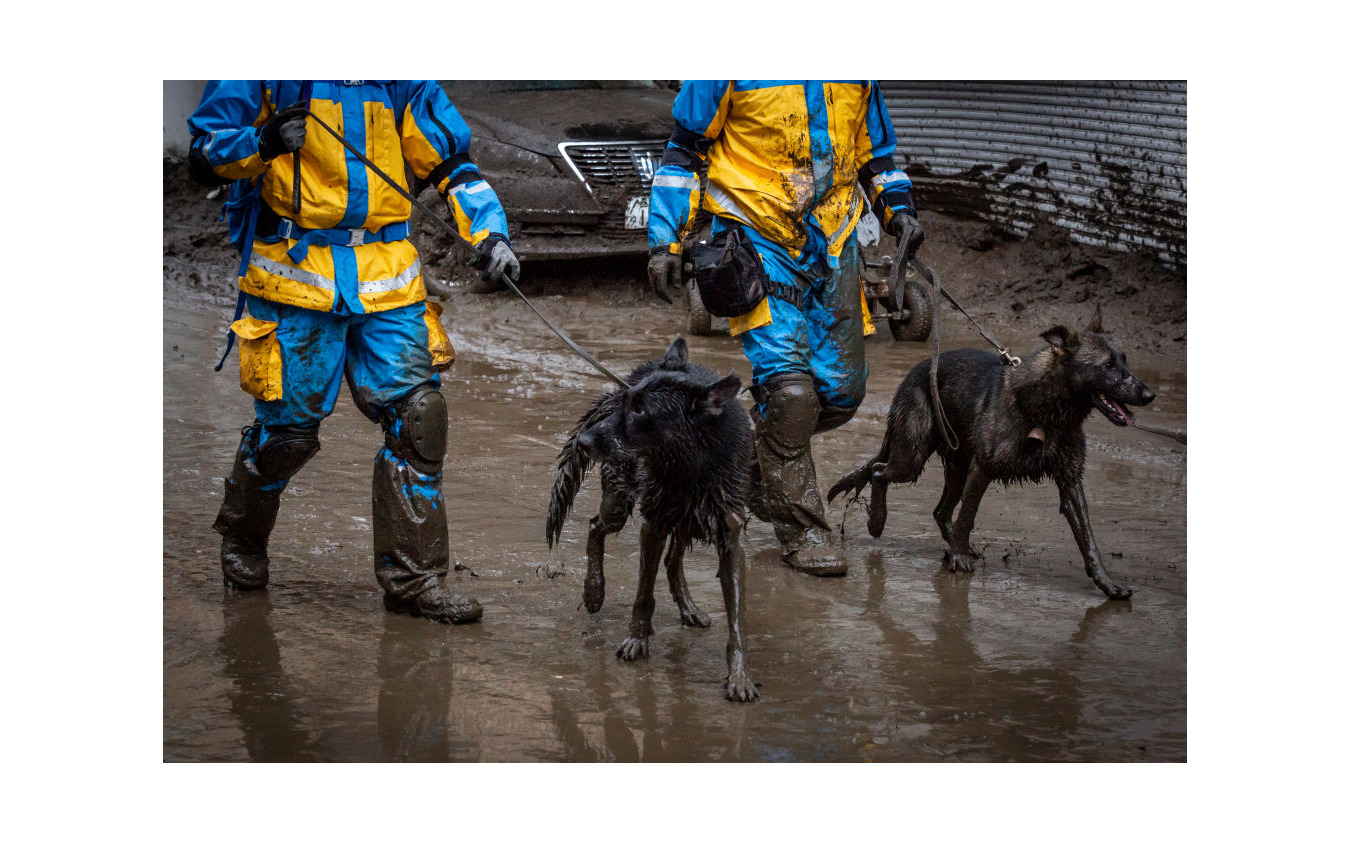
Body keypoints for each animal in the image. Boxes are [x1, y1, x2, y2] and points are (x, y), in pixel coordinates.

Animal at [548, 338, 761, 702]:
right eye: (628, 405)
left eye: (641, 411)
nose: (583, 443)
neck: (693, 464)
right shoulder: (654, 524)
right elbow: (643, 595)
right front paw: (636, 640)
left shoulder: (729, 540)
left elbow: (738, 619)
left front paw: (740, 675)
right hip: (621, 501)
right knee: (595, 526)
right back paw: (594, 591)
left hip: (685, 519)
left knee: (673, 561)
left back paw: (688, 608)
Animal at [826, 303, 1155, 599]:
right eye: (1107, 366)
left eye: (1125, 360)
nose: (1149, 394)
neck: (1045, 411)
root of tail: (916, 371)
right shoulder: (983, 469)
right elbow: (968, 516)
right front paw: (959, 560)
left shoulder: (1070, 481)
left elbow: (1088, 539)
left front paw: (1108, 584)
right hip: (912, 456)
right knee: (879, 472)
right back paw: (879, 521)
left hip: (956, 466)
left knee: (939, 510)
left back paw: (953, 545)